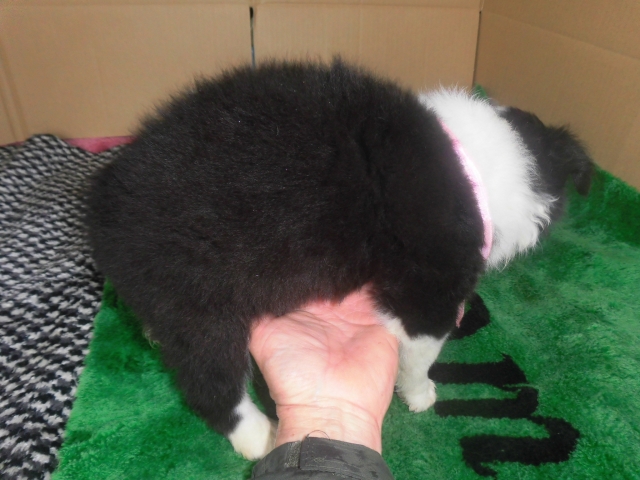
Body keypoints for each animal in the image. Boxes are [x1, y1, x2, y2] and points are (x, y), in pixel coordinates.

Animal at [86, 59, 593, 459]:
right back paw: (256, 435)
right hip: (198, 294)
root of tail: (102, 206)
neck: (477, 162)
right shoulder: (429, 287)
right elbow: (421, 354)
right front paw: (421, 394)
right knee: (209, 382)